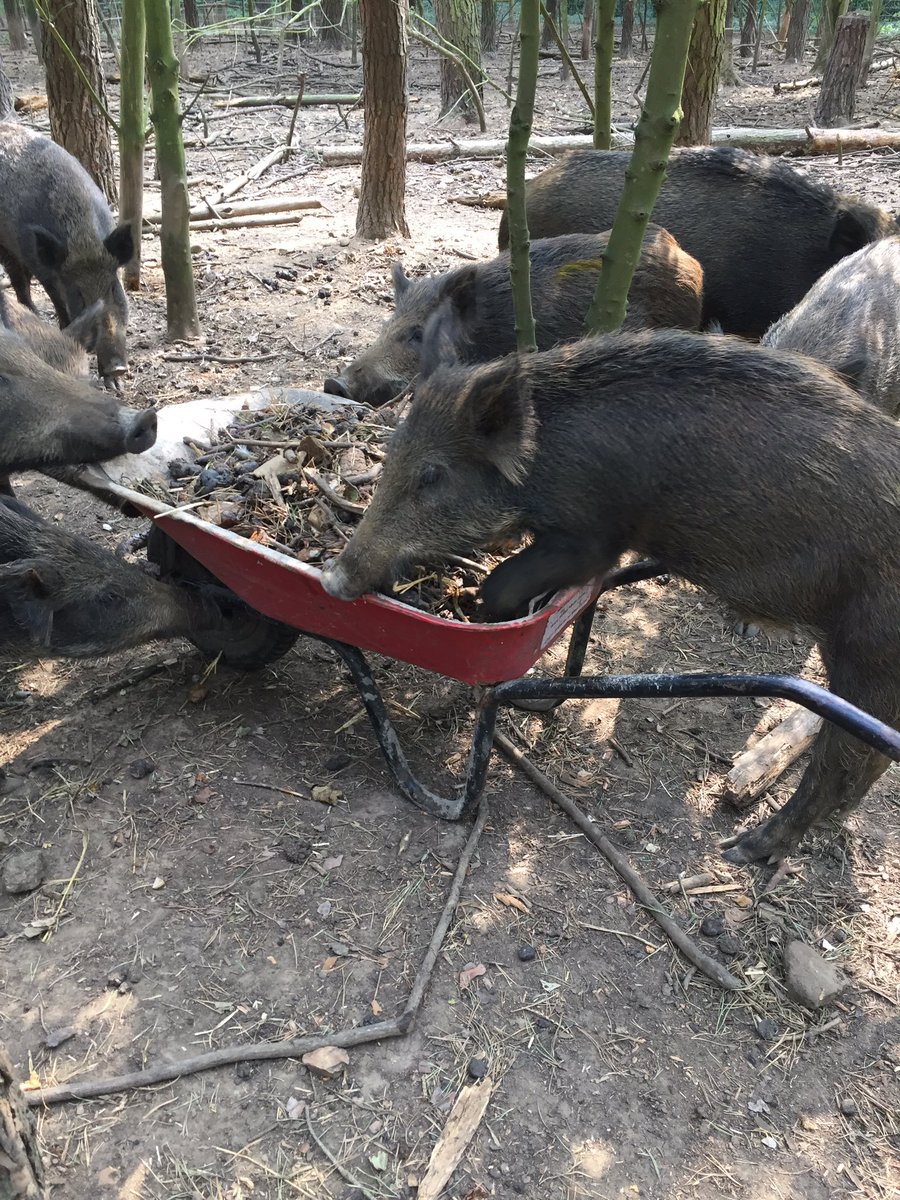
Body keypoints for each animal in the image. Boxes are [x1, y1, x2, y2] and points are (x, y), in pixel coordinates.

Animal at [0, 122, 133, 386]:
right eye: (78, 294)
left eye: (114, 289)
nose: (118, 368)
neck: (84, 240)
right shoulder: (47, 272)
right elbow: (60, 306)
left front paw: (116, 386)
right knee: (19, 281)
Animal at [322, 316, 900, 865]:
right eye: (391, 451)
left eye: (432, 475)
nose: (332, 578)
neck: (545, 457)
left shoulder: (594, 536)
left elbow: (505, 582)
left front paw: (496, 626)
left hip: (872, 653)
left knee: (846, 761)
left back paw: (741, 850)